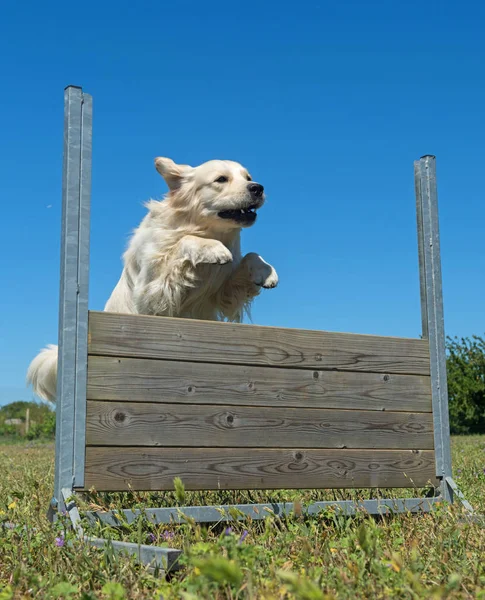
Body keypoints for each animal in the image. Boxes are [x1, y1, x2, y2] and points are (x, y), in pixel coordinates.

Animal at [27, 157, 276, 404]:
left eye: (248, 177)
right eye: (221, 179)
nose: (258, 188)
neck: (203, 229)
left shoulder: (222, 292)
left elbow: (248, 258)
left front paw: (265, 271)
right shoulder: (151, 293)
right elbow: (185, 242)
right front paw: (211, 248)